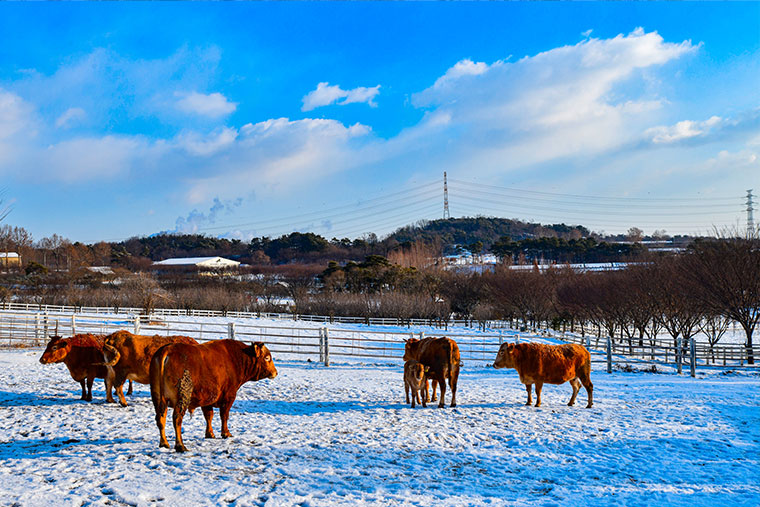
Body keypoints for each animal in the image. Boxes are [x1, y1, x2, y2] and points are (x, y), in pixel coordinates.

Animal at [150, 342, 278, 452]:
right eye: (267, 358)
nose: (275, 372)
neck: (236, 358)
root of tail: (167, 349)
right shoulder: (229, 396)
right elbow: (224, 415)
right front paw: (226, 433)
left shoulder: (206, 399)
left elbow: (209, 416)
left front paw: (210, 434)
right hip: (182, 398)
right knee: (177, 419)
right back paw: (180, 445)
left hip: (158, 398)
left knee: (161, 419)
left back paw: (164, 443)